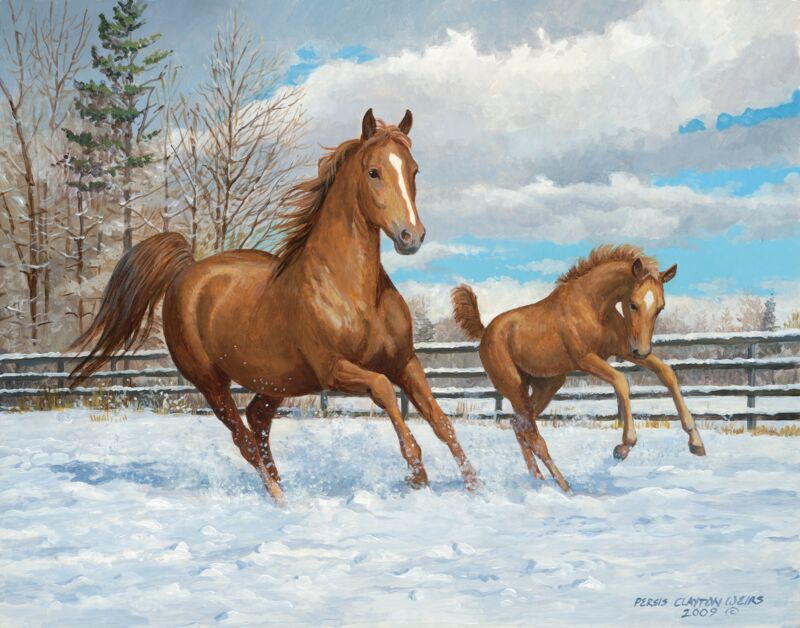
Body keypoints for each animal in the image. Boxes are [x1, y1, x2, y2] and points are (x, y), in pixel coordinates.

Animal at [69, 109, 480, 504]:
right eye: (374, 172)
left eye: (414, 170)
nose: (412, 236)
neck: (352, 290)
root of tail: (185, 271)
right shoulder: (335, 371)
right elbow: (383, 391)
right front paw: (417, 473)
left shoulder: (405, 362)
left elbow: (441, 422)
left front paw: (475, 485)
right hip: (211, 384)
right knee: (245, 440)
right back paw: (280, 500)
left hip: (278, 380)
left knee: (258, 419)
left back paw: (284, 490)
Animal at [451, 244, 706, 492]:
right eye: (633, 304)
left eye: (660, 308)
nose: (641, 351)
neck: (593, 305)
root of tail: (486, 331)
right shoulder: (586, 359)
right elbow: (621, 381)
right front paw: (623, 447)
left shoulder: (623, 350)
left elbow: (668, 374)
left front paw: (696, 443)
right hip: (515, 388)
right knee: (533, 436)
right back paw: (564, 487)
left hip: (547, 385)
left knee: (518, 426)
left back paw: (538, 480)